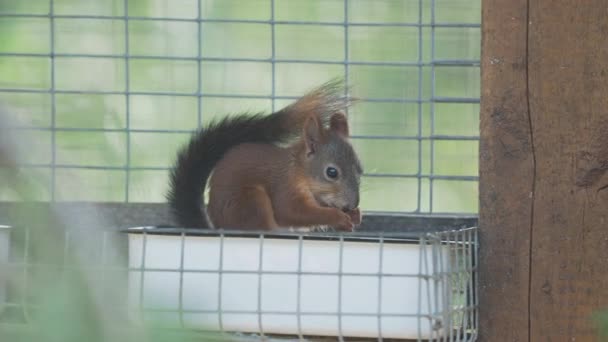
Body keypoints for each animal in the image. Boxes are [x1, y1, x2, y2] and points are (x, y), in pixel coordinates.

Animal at [167, 80, 360, 231]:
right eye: (332, 172)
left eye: (360, 170)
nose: (353, 204)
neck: (299, 170)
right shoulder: (284, 186)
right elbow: (290, 211)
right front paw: (338, 217)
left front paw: (355, 215)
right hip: (250, 201)